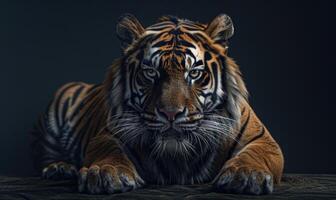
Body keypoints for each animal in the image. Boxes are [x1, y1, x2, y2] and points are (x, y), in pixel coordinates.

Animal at [31, 14, 284, 195]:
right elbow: (109, 150)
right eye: (151, 72)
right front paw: (105, 172)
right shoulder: (108, 134)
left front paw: (246, 174)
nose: (170, 114)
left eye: (194, 73)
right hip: (60, 101)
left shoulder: (263, 139)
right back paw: (60, 168)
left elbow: (255, 154)